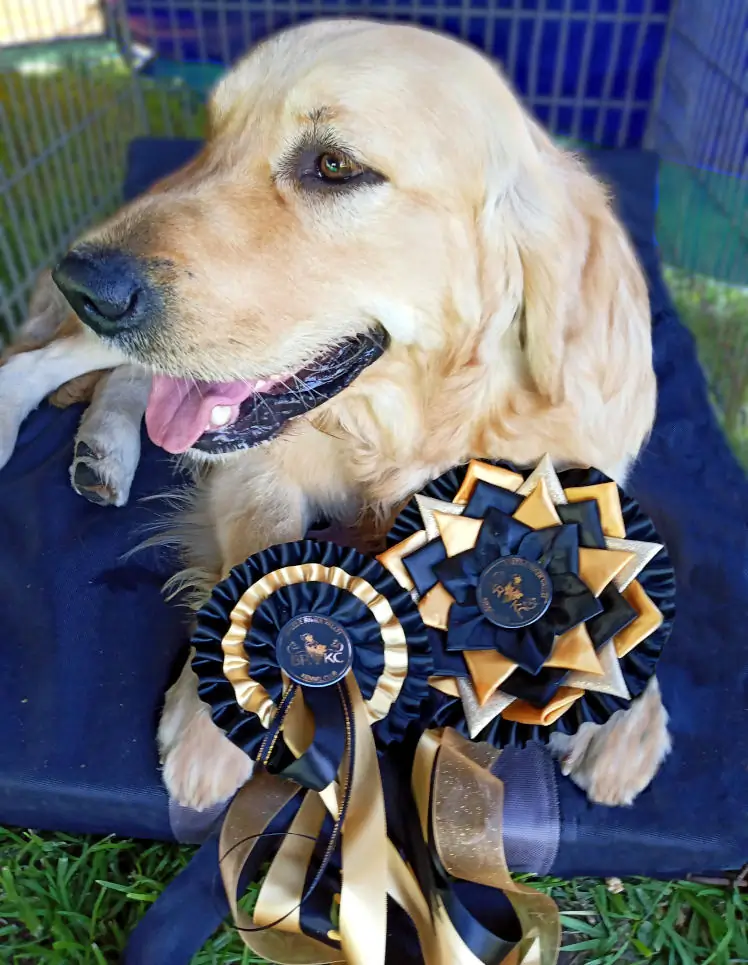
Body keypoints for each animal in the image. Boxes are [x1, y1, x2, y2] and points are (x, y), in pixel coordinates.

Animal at [0, 18, 668, 808]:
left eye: (334, 164)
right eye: (213, 133)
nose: (83, 282)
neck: (401, 427)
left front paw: (623, 706)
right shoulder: (253, 467)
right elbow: (263, 543)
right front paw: (212, 717)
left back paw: (103, 454)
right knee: (36, 364)